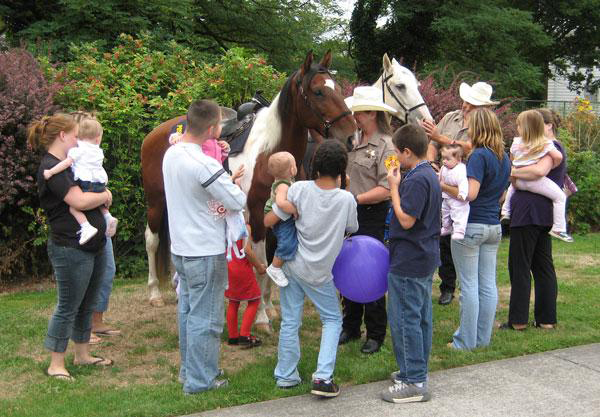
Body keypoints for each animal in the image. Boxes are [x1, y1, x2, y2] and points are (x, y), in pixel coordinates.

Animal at [140, 50, 356, 330]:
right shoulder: (256, 213)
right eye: (318, 91)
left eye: (338, 89)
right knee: (152, 240)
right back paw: (154, 292)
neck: (270, 152)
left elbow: (272, 261)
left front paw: (269, 306)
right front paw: (261, 317)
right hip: (156, 202)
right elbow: (261, 264)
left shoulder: (279, 215)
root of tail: (153, 135)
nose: (351, 137)